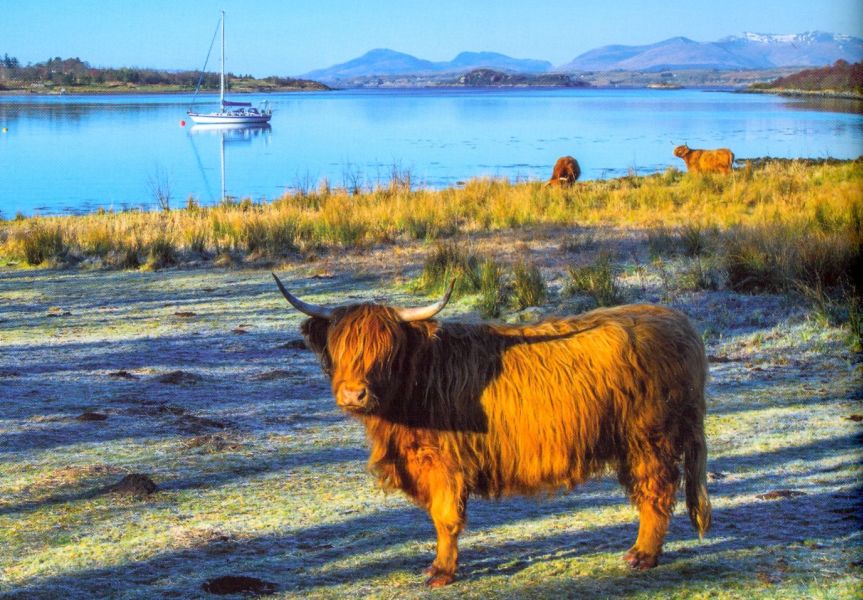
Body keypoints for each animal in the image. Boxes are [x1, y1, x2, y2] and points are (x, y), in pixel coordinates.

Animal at [274, 274, 712, 588]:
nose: (354, 394)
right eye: (340, 348)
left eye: (387, 350)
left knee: (656, 492)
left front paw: (441, 572)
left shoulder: (444, 464)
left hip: (650, 439)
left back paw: (642, 556)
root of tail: (680, 323)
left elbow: (444, 518)